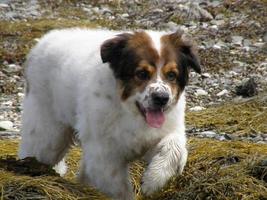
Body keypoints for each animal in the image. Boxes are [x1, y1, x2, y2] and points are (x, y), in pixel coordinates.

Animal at [18, 28, 202, 200]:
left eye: (171, 75)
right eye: (142, 73)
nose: (162, 98)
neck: (130, 112)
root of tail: (43, 42)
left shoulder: (162, 132)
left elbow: (174, 149)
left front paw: (153, 180)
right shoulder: (104, 156)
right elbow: (119, 189)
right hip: (49, 137)